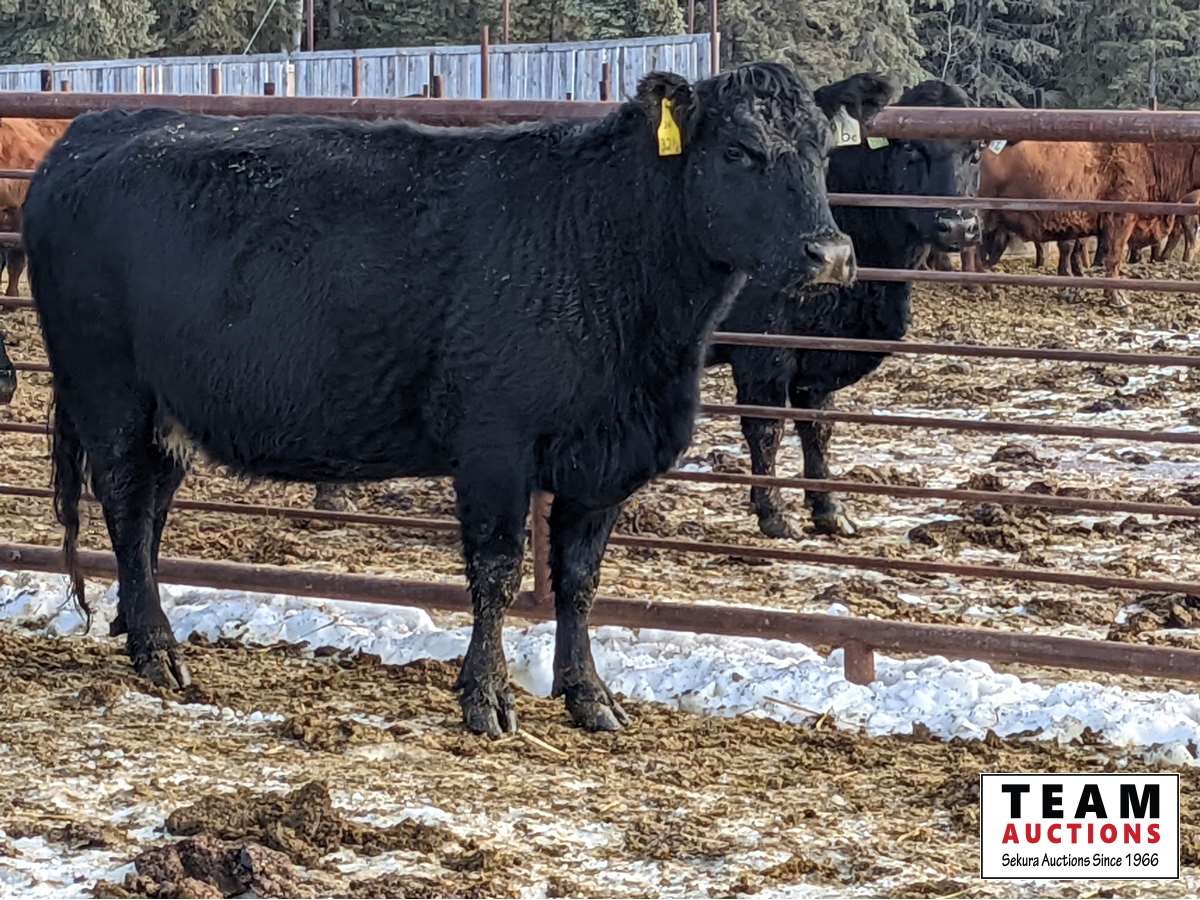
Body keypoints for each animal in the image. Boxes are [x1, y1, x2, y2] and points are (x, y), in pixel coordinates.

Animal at [25, 62, 875, 737]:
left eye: (823, 151)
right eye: (739, 151)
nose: (832, 254)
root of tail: (98, 127)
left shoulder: (604, 455)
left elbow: (579, 578)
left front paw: (589, 695)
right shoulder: (496, 442)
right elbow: (496, 571)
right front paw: (487, 698)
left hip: (165, 410)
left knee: (148, 515)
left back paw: (140, 631)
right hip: (108, 389)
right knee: (126, 505)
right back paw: (158, 650)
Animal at [708, 79, 981, 539]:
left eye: (975, 151)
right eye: (911, 148)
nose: (958, 225)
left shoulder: (818, 351)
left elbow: (818, 427)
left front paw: (830, 509)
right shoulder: (762, 348)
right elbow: (765, 427)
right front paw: (773, 514)